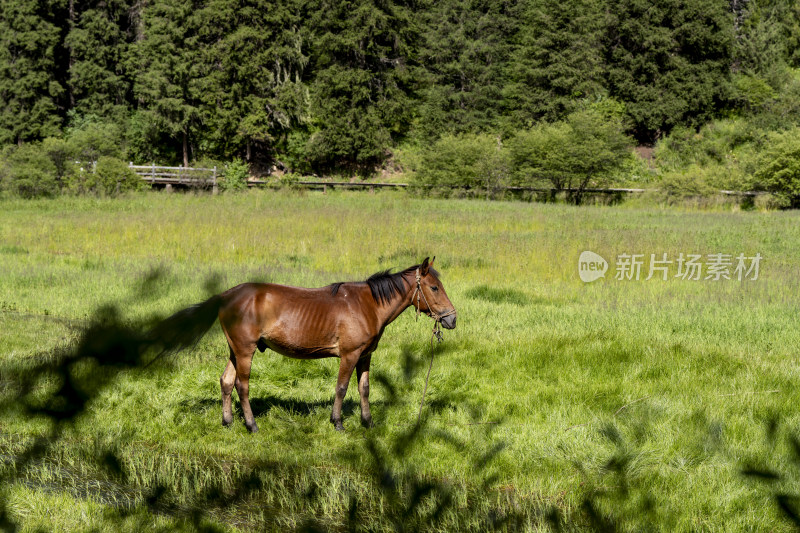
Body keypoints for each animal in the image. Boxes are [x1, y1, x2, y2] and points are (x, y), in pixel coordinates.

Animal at [152, 258, 456, 432]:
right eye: (434, 288)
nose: (451, 318)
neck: (367, 305)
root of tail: (226, 295)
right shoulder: (349, 355)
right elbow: (342, 387)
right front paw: (337, 422)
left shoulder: (365, 356)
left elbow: (364, 388)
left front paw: (368, 422)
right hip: (245, 351)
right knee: (241, 385)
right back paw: (251, 425)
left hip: (234, 351)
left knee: (226, 381)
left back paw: (228, 423)